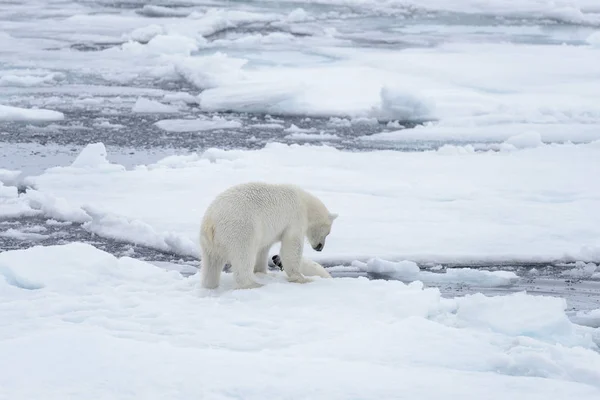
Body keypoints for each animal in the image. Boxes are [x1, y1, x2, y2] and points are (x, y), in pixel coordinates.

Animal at [198, 183, 336, 290]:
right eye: (328, 233)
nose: (320, 247)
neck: (305, 203)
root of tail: (211, 222)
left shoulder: (266, 232)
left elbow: (263, 249)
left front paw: (262, 272)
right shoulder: (295, 219)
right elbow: (291, 246)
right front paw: (301, 278)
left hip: (209, 242)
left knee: (211, 263)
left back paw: (209, 285)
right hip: (240, 229)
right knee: (243, 256)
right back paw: (253, 284)